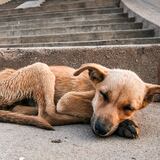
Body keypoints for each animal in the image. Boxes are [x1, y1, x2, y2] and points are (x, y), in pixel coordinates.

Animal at [0, 63, 160, 138]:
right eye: (103, 95)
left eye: (129, 108)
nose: (101, 129)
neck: (92, 85)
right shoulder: (67, 99)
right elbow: (89, 109)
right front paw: (125, 124)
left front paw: (127, 122)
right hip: (41, 67)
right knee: (47, 114)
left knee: (18, 109)